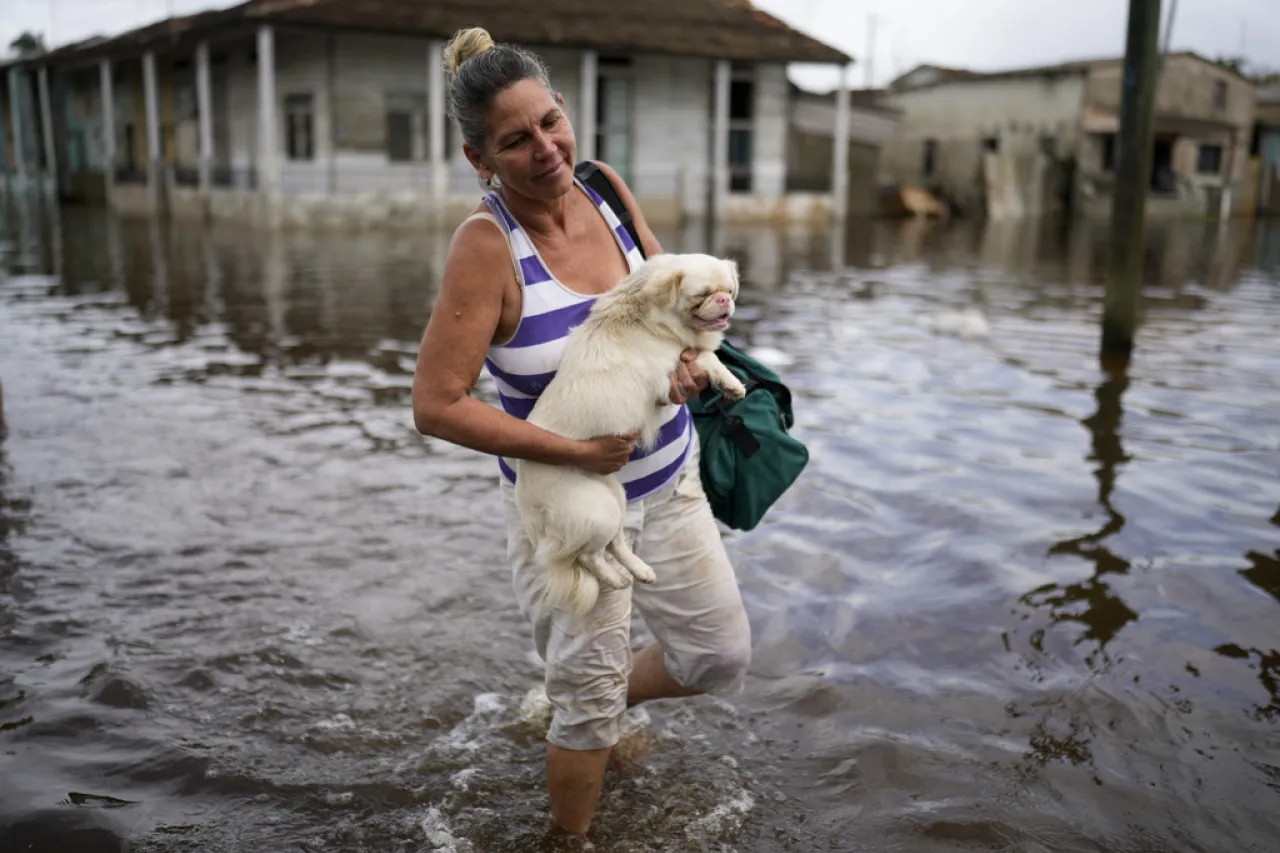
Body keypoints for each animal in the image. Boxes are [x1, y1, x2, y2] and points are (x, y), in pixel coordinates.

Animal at [512, 251, 747, 612]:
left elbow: (707, 355)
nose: (723, 301)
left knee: (614, 544)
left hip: (615, 495)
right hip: (597, 511)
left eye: (729, 291)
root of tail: (528, 503)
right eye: (702, 295)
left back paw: (640, 570)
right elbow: (707, 358)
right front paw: (733, 384)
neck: (648, 312)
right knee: (591, 555)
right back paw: (616, 580)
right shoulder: (670, 369)